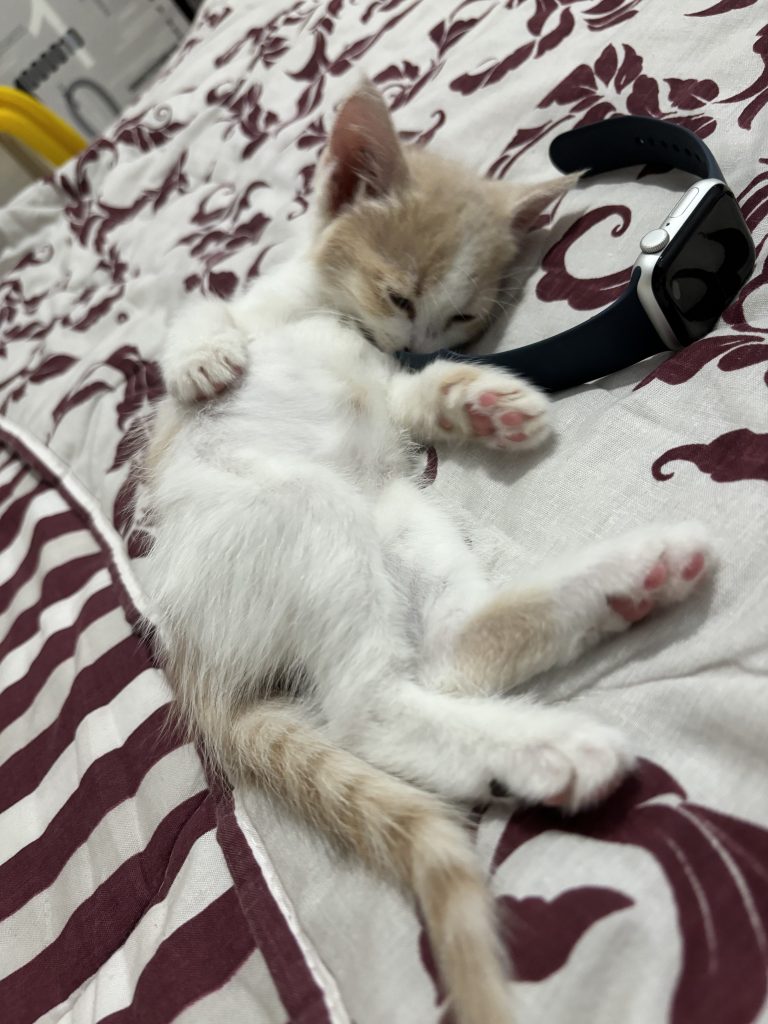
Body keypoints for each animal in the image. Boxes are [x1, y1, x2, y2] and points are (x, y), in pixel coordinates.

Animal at [139, 82, 713, 1024]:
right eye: (400, 295)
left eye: (464, 318)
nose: (414, 345)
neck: (331, 313)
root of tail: (192, 658)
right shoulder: (250, 323)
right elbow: (197, 313)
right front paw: (204, 354)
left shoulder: (389, 394)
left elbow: (406, 400)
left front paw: (483, 401)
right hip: (307, 512)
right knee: (364, 707)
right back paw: (557, 744)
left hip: (400, 511)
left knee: (440, 657)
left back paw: (628, 583)